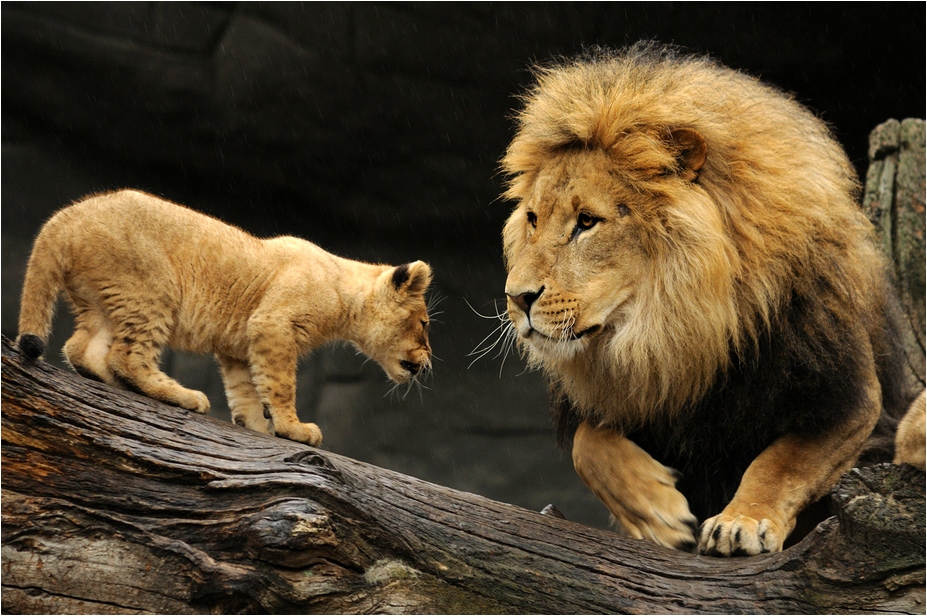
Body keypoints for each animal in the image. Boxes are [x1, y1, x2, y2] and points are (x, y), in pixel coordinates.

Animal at [17, 190, 433, 446]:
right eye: (425, 324)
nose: (428, 363)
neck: (345, 292)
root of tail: (69, 214)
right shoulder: (273, 326)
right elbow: (280, 384)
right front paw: (293, 428)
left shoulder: (241, 345)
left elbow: (246, 389)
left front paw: (257, 426)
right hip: (152, 288)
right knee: (127, 355)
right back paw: (181, 395)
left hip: (101, 300)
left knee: (81, 348)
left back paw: (117, 383)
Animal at [500, 43, 924, 556]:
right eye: (533, 219)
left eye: (586, 222)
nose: (517, 297)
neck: (674, 330)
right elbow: (589, 440)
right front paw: (656, 513)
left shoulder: (849, 400)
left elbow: (781, 462)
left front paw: (742, 520)